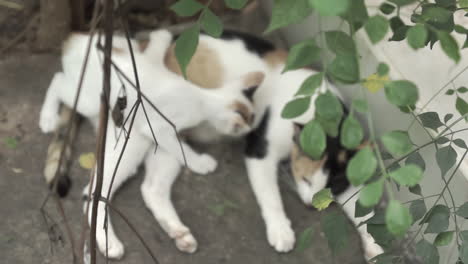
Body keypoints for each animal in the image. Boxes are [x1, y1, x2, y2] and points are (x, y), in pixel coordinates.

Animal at [38, 28, 266, 258]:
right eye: (249, 122)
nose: (251, 132)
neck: (203, 98)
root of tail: (77, 40)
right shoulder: (159, 128)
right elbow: (182, 149)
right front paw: (200, 163)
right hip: (94, 103)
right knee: (58, 81)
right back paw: (47, 117)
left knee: (151, 188)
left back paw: (178, 233)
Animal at [157, 29, 384, 260]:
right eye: (306, 179)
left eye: (334, 186)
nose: (311, 206)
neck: (321, 116)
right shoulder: (259, 151)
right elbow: (270, 195)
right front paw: (280, 231)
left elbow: (361, 206)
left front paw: (373, 244)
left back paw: (179, 234)